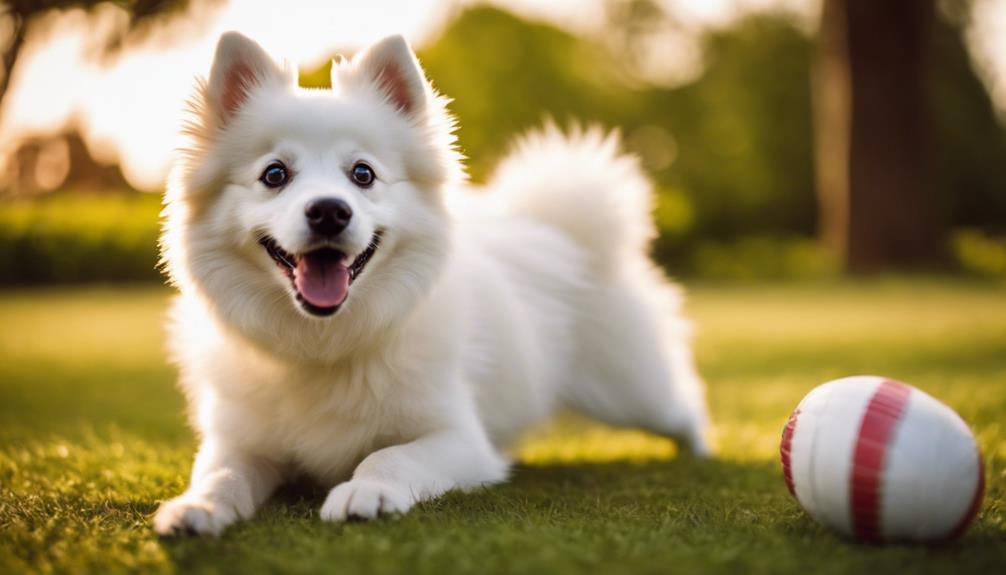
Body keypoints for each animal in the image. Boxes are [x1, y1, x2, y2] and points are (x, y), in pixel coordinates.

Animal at [152, 30, 712, 534]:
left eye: (362, 174)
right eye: (274, 175)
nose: (329, 210)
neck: (323, 343)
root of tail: (562, 228)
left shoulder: (459, 440)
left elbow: (389, 457)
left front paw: (365, 492)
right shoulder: (240, 441)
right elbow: (221, 475)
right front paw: (195, 508)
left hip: (632, 389)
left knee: (685, 406)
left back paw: (705, 452)